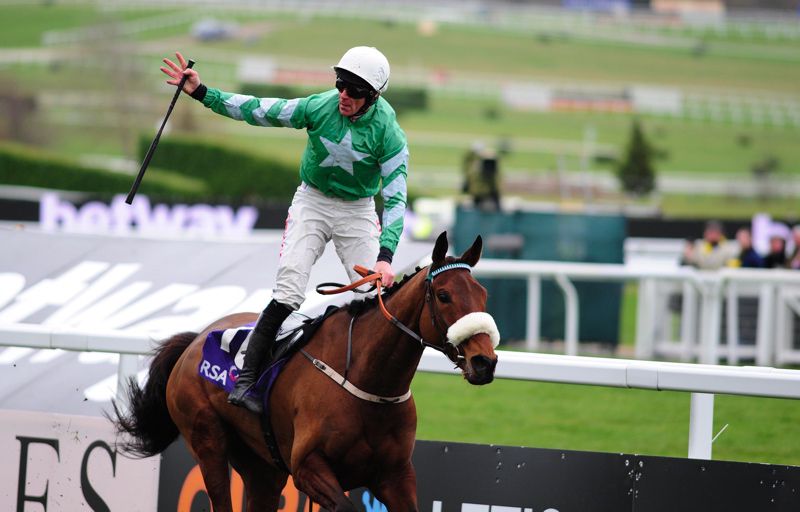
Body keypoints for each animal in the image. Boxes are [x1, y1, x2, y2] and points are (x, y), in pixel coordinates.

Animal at [111, 233, 500, 512]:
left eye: (483, 294)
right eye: (444, 295)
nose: (485, 362)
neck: (369, 383)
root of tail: (194, 340)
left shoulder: (396, 475)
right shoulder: (308, 468)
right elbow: (345, 507)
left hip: (262, 467)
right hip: (207, 440)